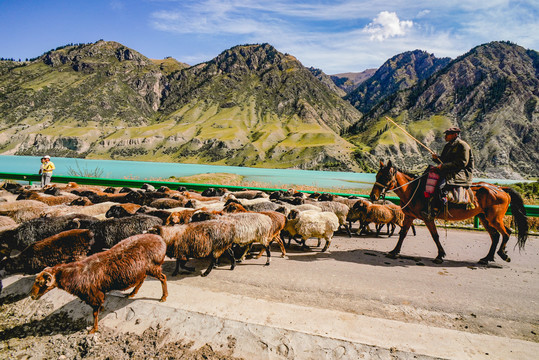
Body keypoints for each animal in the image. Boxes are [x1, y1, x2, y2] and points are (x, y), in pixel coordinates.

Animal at [30, 235, 168, 334]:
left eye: (41, 283)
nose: (31, 296)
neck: (73, 274)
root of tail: (160, 240)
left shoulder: (94, 295)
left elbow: (95, 313)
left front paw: (93, 329)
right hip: (142, 270)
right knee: (143, 279)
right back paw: (132, 293)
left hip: (153, 266)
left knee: (163, 277)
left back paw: (163, 297)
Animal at [372, 160, 528, 264]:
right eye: (376, 176)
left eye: (386, 177)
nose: (373, 196)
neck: (414, 189)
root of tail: (501, 188)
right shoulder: (410, 216)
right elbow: (403, 234)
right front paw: (394, 251)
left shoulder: (428, 218)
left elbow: (435, 236)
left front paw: (440, 255)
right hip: (484, 218)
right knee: (495, 236)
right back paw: (487, 258)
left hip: (494, 218)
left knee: (506, 232)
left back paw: (502, 254)